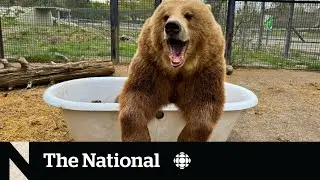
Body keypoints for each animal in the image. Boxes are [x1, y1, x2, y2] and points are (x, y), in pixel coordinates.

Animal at [117, 0, 225, 142]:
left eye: (188, 15)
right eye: (165, 16)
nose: (172, 27)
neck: (177, 71)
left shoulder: (204, 72)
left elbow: (205, 103)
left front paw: (185, 137)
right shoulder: (152, 69)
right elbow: (137, 94)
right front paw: (138, 136)